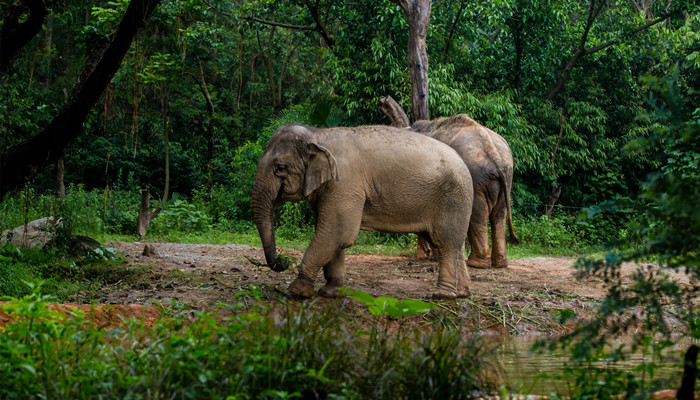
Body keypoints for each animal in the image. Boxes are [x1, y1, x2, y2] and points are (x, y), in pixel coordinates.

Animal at [249, 123, 474, 298]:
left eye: (280, 168)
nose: (284, 260)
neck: (318, 134)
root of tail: (464, 163)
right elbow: (332, 235)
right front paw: (330, 292)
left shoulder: (345, 184)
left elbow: (339, 232)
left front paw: (296, 291)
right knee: (455, 244)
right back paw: (461, 293)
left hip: (452, 198)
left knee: (446, 243)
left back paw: (442, 295)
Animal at [410, 112, 520, 268]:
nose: (426, 252)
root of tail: (495, 155)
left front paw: (434, 257)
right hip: (507, 177)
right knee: (499, 214)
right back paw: (499, 264)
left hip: (476, 177)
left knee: (477, 213)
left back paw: (476, 263)